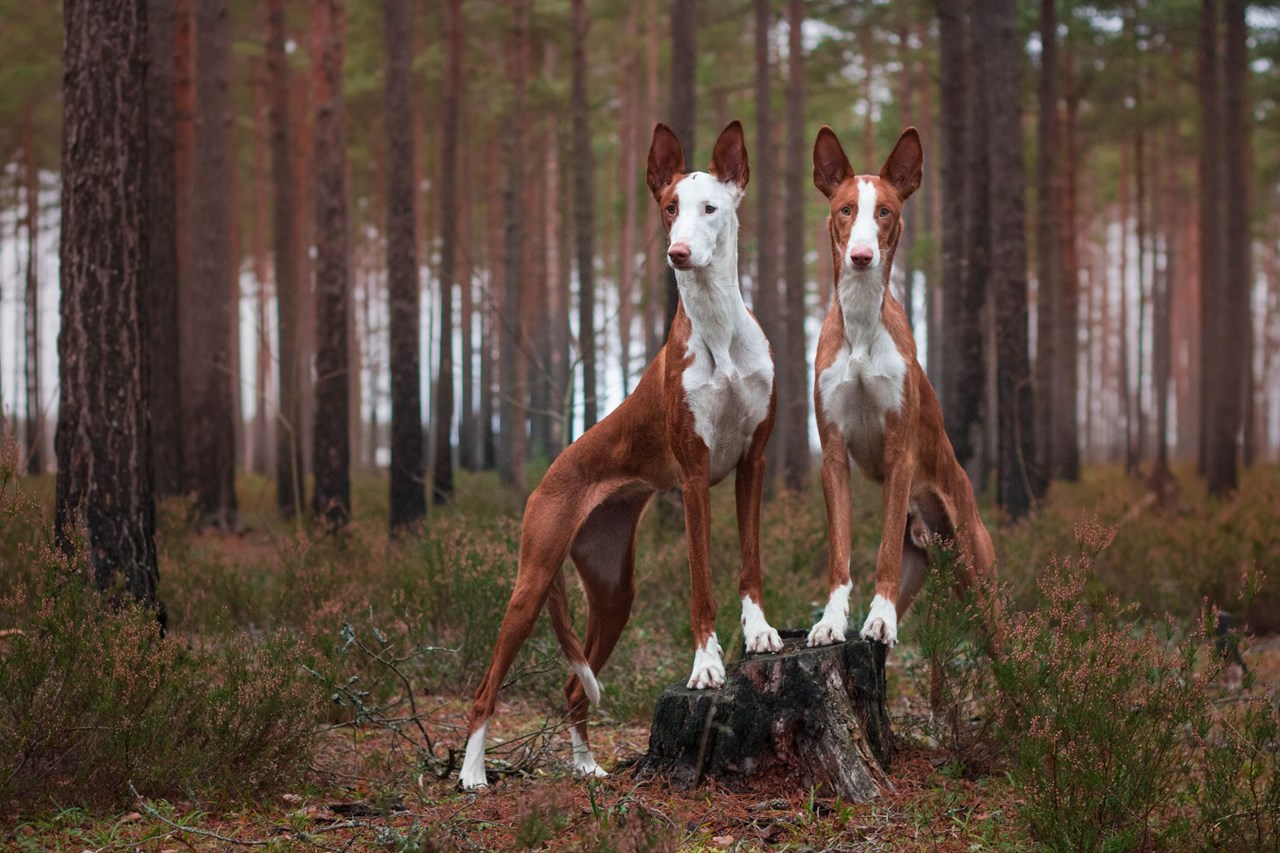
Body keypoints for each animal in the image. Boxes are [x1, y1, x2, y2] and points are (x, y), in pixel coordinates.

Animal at [460, 121, 778, 788]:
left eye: (711, 209)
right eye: (669, 208)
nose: (678, 253)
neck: (719, 330)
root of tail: (546, 480)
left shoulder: (753, 465)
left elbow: (750, 561)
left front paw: (761, 633)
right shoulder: (692, 479)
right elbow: (701, 583)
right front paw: (707, 666)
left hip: (613, 592)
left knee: (573, 688)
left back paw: (587, 767)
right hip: (531, 582)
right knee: (485, 689)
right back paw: (472, 774)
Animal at [803, 124, 993, 645]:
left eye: (885, 211)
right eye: (846, 209)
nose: (861, 256)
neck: (862, 325)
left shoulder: (899, 451)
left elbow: (883, 548)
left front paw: (880, 618)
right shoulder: (832, 454)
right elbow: (840, 552)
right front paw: (831, 621)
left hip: (978, 578)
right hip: (927, 570)